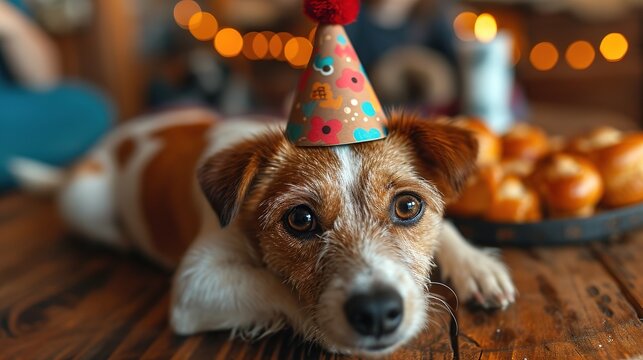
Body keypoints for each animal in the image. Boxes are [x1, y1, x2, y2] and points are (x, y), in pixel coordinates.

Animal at [12, 106, 520, 354]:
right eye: (300, 219)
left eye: (408, 206)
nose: (377, 312)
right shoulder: (196, 284)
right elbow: (273, 286)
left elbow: (447, 221)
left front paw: (475, 265)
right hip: (86, 204)